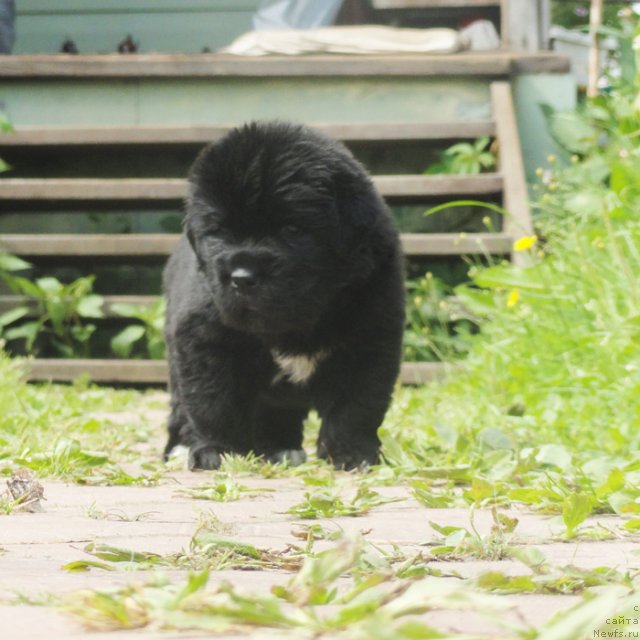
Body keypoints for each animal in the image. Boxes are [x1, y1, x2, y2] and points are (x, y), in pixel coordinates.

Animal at [164, 121, 404, 470]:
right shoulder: (204, 340)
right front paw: (216, 451)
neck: (293, 324)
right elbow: (211, 403)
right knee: (180, 406)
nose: (241, 278)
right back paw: (179, 448)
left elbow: (356, 406)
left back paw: (279, 448)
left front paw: (352, 454)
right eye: (220, 232)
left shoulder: (370, 339)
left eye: (291, 229)